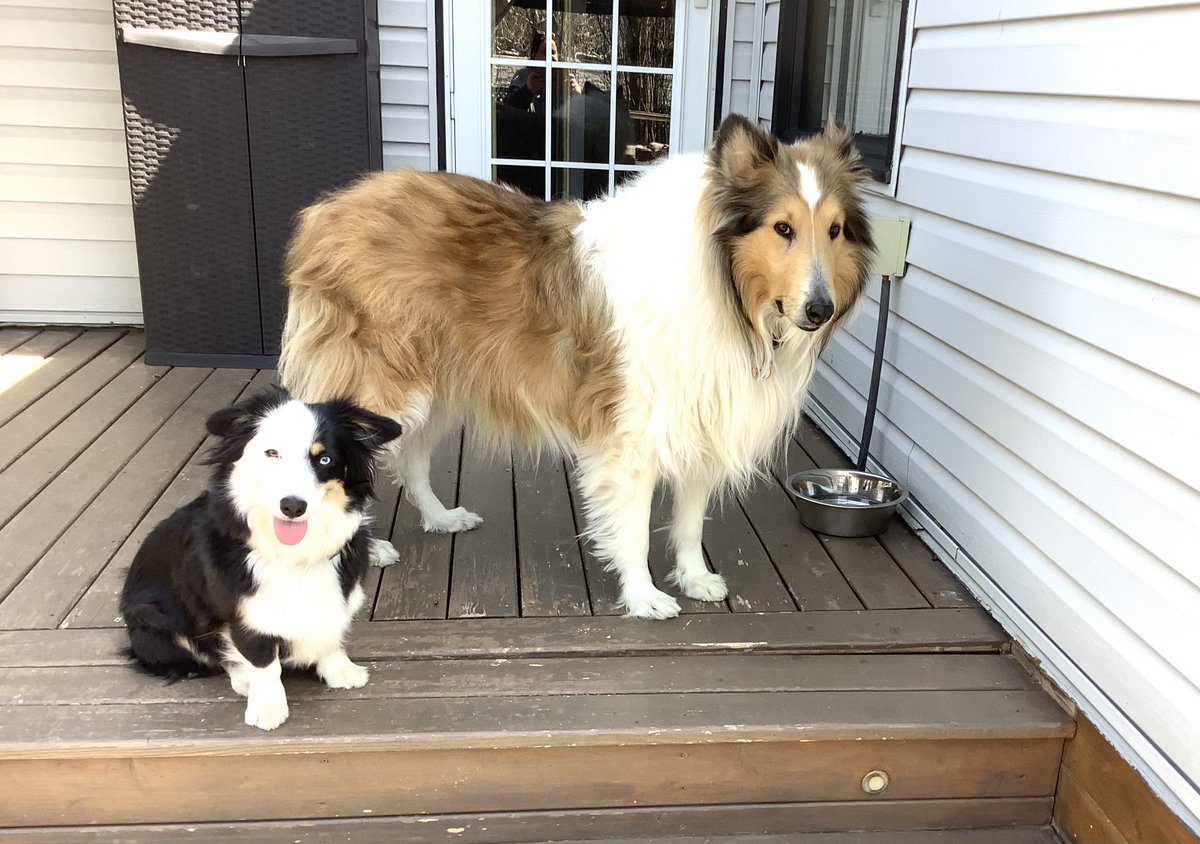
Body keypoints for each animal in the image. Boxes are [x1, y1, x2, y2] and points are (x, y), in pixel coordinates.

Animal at [120, 386, 403, 729]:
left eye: (325, 459)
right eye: (272, 453)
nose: (292, 506)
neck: (293, 555)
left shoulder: (337, 600)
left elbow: (330, 635)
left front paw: (340, 672)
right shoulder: (245, 617)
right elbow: (264, 663)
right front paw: (268, 708)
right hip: (154, 623)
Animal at [278, 115, 873, 619]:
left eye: (835, 230)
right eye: (782, 228)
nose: (819, 311)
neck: (724, 287)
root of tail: (324, 212)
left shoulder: (701, 417)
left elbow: (688, 518)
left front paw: (694, 577)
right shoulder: (632, 434)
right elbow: (634, 527)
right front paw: (645, 596)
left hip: (434, 390)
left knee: (413, 461)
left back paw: (442, 519)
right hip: (384, 390)